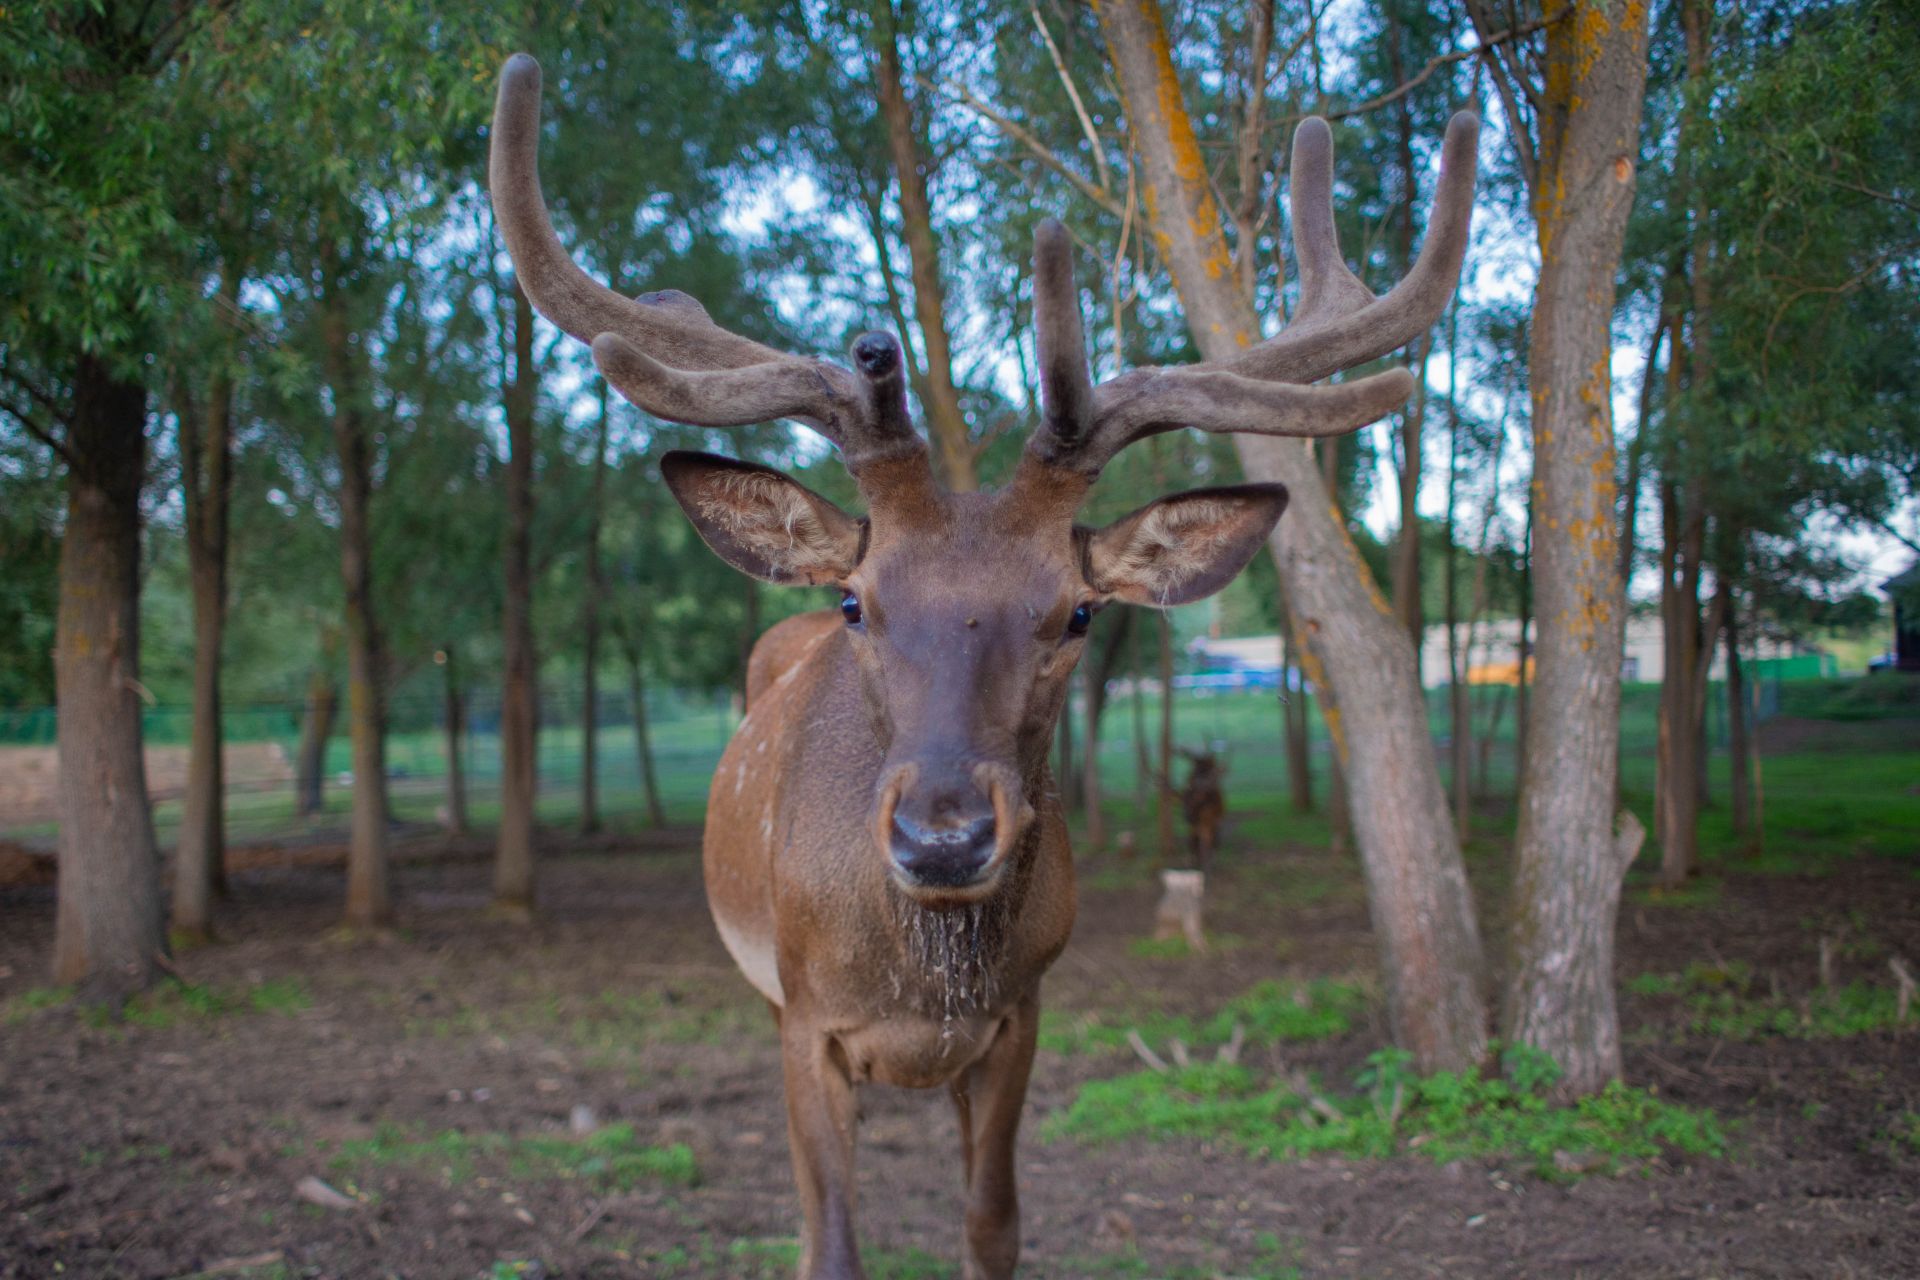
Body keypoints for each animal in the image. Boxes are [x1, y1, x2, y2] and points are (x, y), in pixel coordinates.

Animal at [487, 52, 1474, 1280]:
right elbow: (831, 1240)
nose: (945, 837)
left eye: (1079, 613)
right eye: (858, 602)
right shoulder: (805, 1018)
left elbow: (994, 1222)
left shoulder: (1021, 1015)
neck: (921, 982)